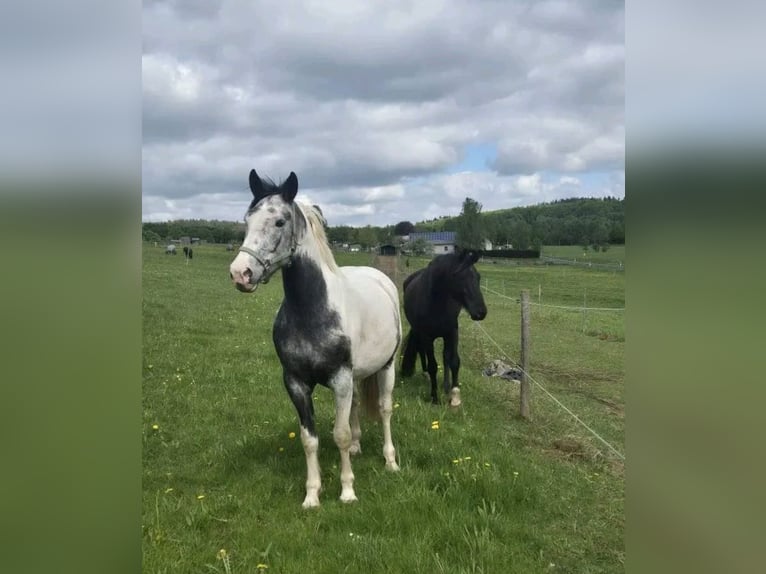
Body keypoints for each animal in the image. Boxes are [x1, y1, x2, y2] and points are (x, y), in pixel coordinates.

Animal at [229, 169, 401, 508]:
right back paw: (359, 448)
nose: (240, 273)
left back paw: (390, 461)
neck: (313, 311)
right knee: (357, 406)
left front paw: (347, 492)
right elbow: (310, 440)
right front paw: (312, 495)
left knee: (385, 408)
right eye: (247, 218)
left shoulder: (340, 379)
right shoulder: (296, 382)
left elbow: (340, 435)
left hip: (386, 367)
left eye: (279, 221)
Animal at [401, 250, 488, 406]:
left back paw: (446, 386)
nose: (481, 312)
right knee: (422, 352)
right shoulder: (427, 336)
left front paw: (455, 395)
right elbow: (433, 366)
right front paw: (434, 397)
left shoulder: (452, 332)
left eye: (478, 277)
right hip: (419, 332)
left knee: (445, 356)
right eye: (460, 276)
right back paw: (425, 374)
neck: (436, 302)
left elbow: (454, 361)